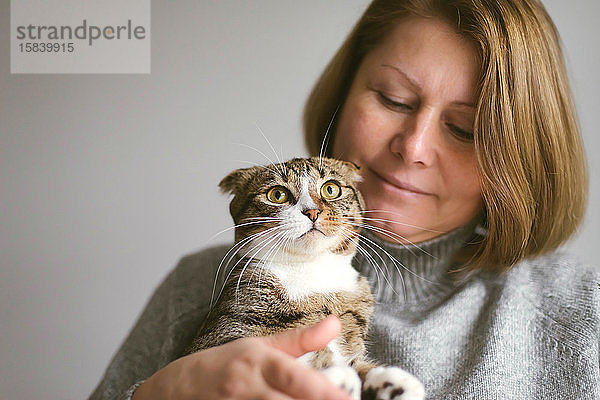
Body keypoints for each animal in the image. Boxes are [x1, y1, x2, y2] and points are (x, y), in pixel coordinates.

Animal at [185, 158, 424, 398]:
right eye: (277, 194)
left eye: (331, 189)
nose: (312, 212)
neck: (310, 271)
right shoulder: (221, 339)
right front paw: (332, 376)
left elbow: (357, 365)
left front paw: (390, 383)